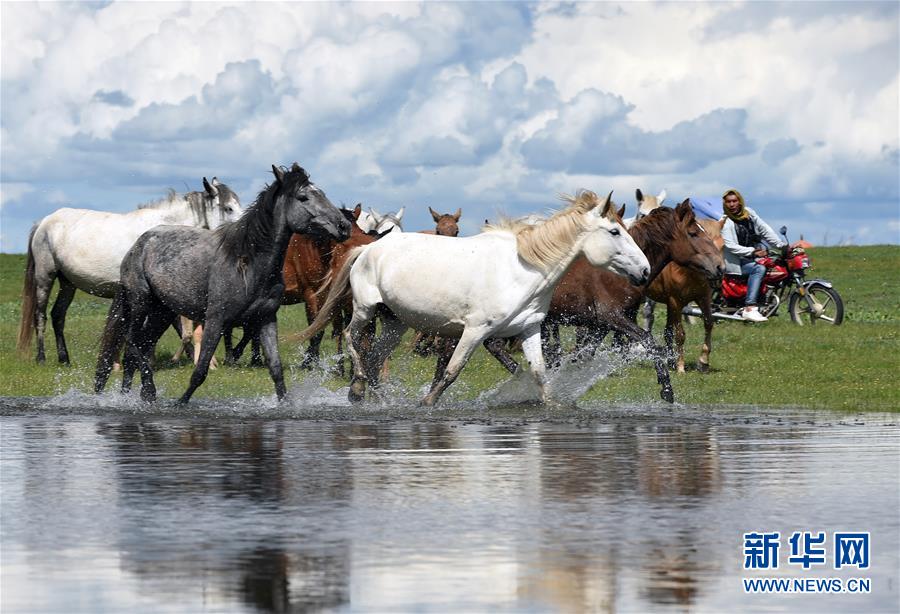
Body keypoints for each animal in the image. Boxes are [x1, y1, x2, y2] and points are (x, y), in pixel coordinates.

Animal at [18, 180, 243, 368]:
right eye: (228, 208)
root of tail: (44, 222)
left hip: (68, 283)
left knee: (58, 315)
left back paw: (64, 359)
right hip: (45, 278)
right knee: (41, 316)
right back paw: (41, 358)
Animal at [95, 164, 352, 404]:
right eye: (303, 197)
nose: (344, 226)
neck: (248, 263)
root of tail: (138, 244)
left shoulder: (266, 318)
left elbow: (276, 369)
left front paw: (285, 403)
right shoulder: (216, 320)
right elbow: (200, 370)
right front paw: (180, 403)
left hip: (163, 311)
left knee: (137, 348)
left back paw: (131, 396)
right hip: (140, 303)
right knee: (133, 343)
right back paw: (148, 392)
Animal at [298, 190, 652, 406]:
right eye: (614, 232)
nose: (646, 270)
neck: (521, 269)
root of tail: (368, 248)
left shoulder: (530, 329)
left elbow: (540, 375)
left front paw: (552, 405)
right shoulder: (475, 330)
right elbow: (452, 371)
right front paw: (427, 402)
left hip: (395, 323)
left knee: (374, 359)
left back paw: (374, 397)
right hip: (364, 309)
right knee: (352, 339)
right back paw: (357, 387)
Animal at [644, 221, 728, 376]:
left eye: (723, 245)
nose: (719, 272)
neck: (689, 272)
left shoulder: (703, 299)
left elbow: (708, 323)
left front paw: (703, 362)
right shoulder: (676, 302)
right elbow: (680, 334)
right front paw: (680, 367)